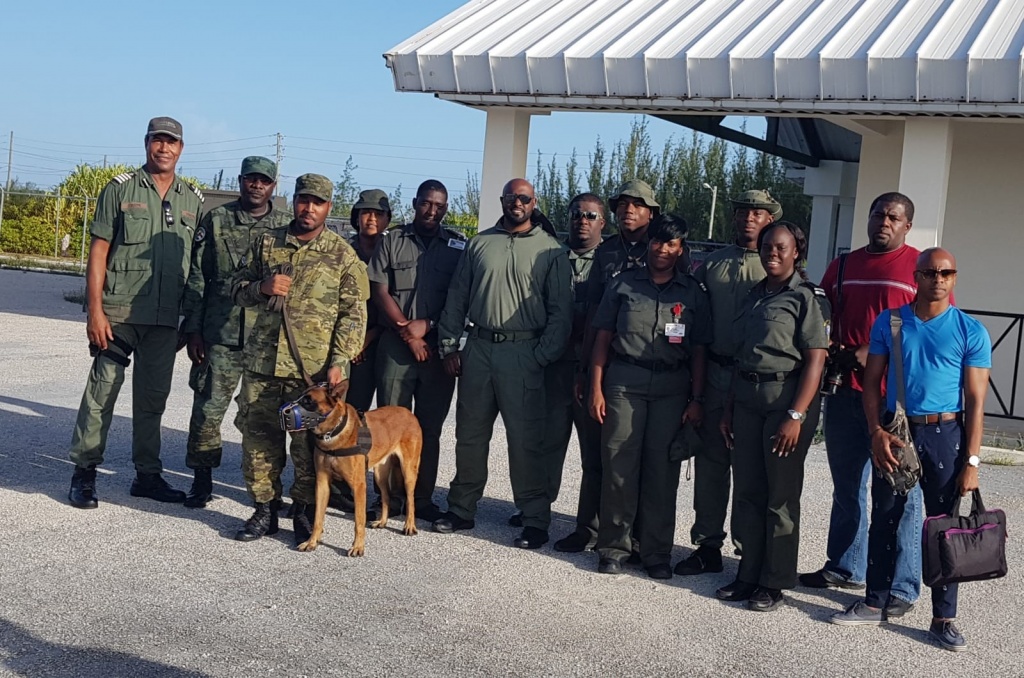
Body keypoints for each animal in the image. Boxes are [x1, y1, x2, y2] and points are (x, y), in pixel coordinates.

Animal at [294, 383, 421, 557]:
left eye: (308, 402)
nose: (285, 410)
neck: (333, 432)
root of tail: (408, 413)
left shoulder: (359, 486)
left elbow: (359, 520)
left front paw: (358, 547)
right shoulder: (322, 484)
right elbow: (317, 518)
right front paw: (311, 542)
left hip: (408, 472)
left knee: (410, 499)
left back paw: (409, 526)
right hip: (380, 475)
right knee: (386, 496)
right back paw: (382, 521)